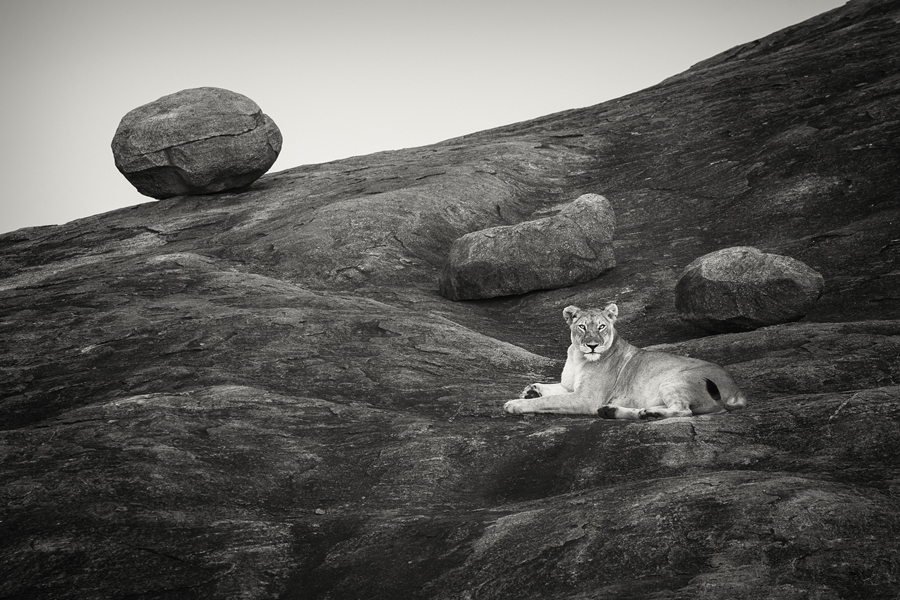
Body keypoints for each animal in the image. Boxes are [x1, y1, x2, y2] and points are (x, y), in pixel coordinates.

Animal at [503, 304, 748, 419]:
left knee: (684, 410)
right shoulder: (570, 387)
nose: (592, 345)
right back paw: (624, 412)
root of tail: (737, 391)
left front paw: (516, 404)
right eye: (582, 327)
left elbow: (547, 401)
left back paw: (648, 414)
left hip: (673, 380)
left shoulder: (587, 398)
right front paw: (530, 391)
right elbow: (552, 389)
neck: (577, 356)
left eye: (601, 326)